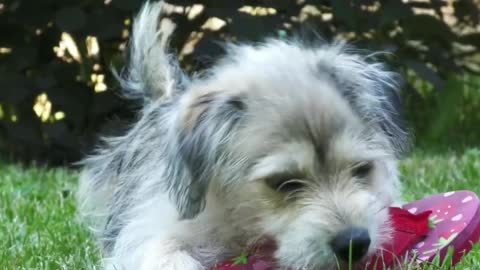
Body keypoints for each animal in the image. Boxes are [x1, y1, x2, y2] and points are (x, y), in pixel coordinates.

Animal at [77, 1, 410, 268]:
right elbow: (165, 250)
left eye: (362, 169)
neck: (243, 221)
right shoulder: (155, 229)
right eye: (283, 183)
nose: (355, 243)